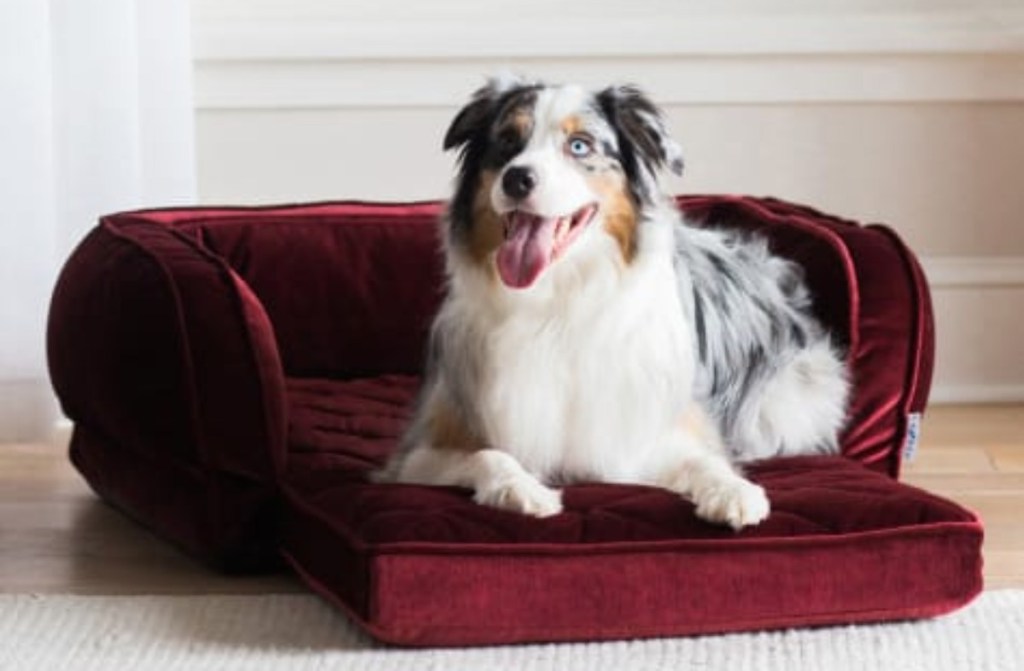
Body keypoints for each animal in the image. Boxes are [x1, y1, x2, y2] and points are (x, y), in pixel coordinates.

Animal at [376, 76, 847, 528]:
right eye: (508, 141)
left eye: (579, 145)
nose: (517, 178)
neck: (557, 302)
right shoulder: (419, 452)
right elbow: (488, 454)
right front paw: (522, 490)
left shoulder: (646, 436)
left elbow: (704, 461)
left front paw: (734, 492)